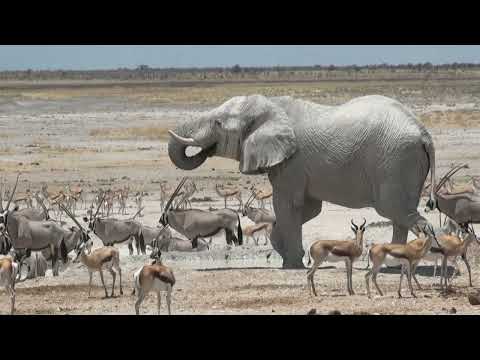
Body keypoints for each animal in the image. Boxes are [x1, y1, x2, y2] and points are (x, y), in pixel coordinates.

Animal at [167, 94, 436, 268]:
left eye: (218, 123)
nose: (203, 150)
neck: (271, 105)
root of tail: (424, 134)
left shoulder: (291, 162)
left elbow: (287, 206)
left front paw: (291, 263)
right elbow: (308, 209)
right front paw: (285, 251)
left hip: (396, 161)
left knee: (397, 211)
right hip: (403, 164)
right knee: (400, 214)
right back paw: (394, 263)